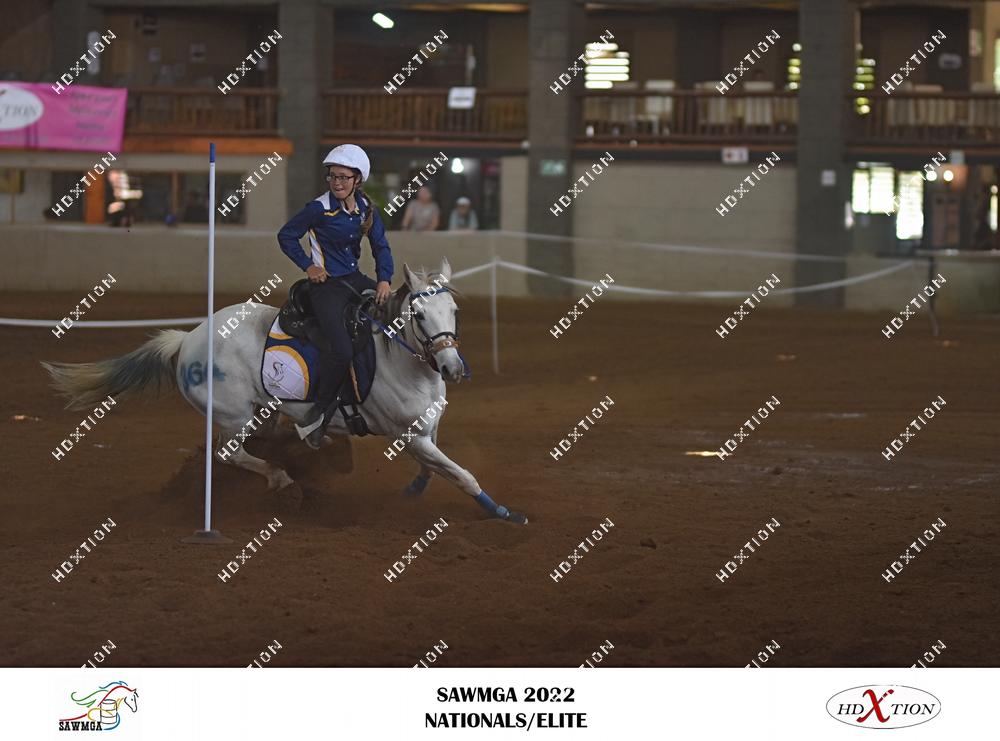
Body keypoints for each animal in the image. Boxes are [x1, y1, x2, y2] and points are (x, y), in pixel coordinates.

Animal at [42, 258, 527, 524]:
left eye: (454, 310)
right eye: (420, 316)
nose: (452, 367)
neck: (400, 361)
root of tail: (187, 340)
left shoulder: (425, 432)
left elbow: (433, 470)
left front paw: (412, 491)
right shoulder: (408, 435)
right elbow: (462, 475)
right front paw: (503, 513)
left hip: (264, 411)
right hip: (234, 415)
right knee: (230, 453)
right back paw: (284, 480)